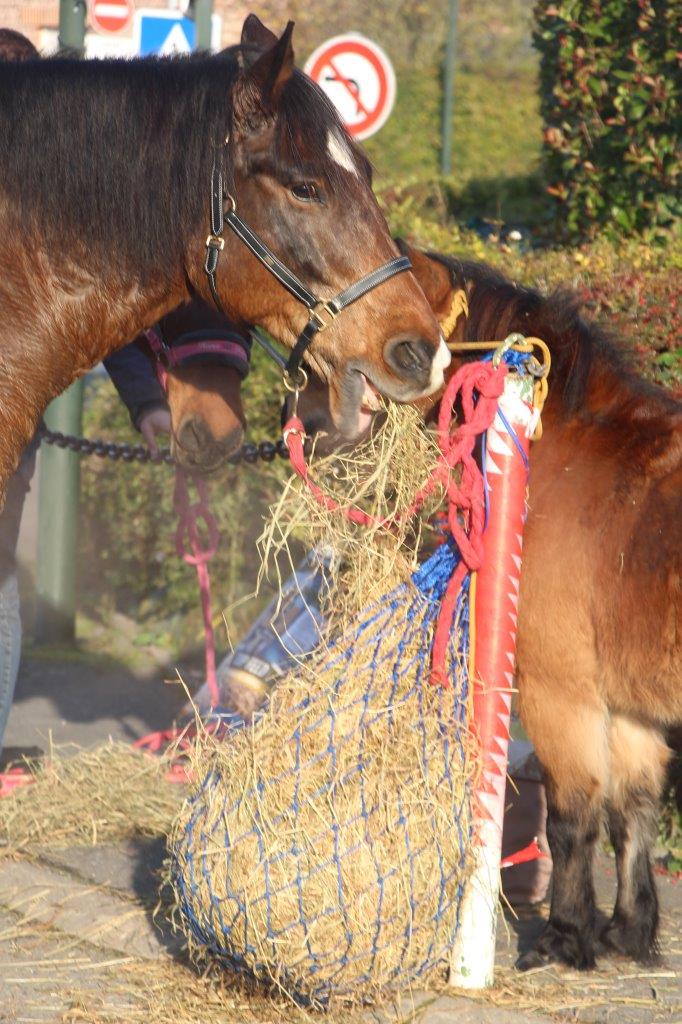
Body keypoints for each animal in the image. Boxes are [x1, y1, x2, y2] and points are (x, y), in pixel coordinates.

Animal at [294, 243, 675, 970]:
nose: (310, 425)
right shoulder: (627, 709)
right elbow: (632, 813)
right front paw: (629, 933)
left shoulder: (562, 695)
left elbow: (573, 819)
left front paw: (564, 937)